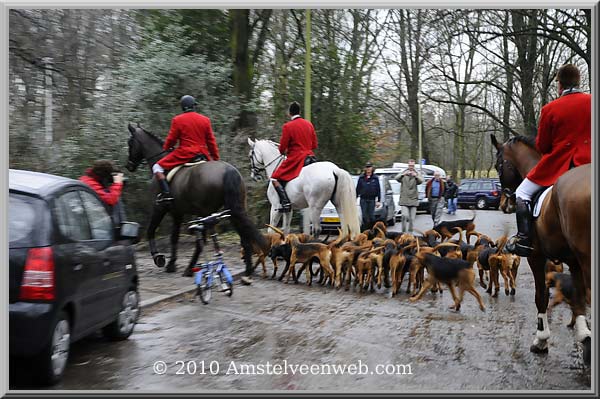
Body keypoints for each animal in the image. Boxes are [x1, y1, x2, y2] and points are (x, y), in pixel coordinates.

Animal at [126, 125, 264, 282]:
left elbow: (151, 231)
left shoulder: (159, 208)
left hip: (205, 213)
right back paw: (248, 271)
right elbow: (174, 236)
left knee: (201, 242)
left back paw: (190, 269)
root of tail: (228, 170)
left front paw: (159, 258)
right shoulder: (177, 213)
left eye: (130, 142)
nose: (129, 165)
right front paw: (172, 264)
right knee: (244, 236)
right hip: (232, 210)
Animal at [492, 134, 592, 366]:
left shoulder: (536, 256)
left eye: (498, 166)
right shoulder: (573, 261)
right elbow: (578, 298)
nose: (504, 204)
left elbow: (541, 296)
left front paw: (541, 340)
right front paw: (584, 337)